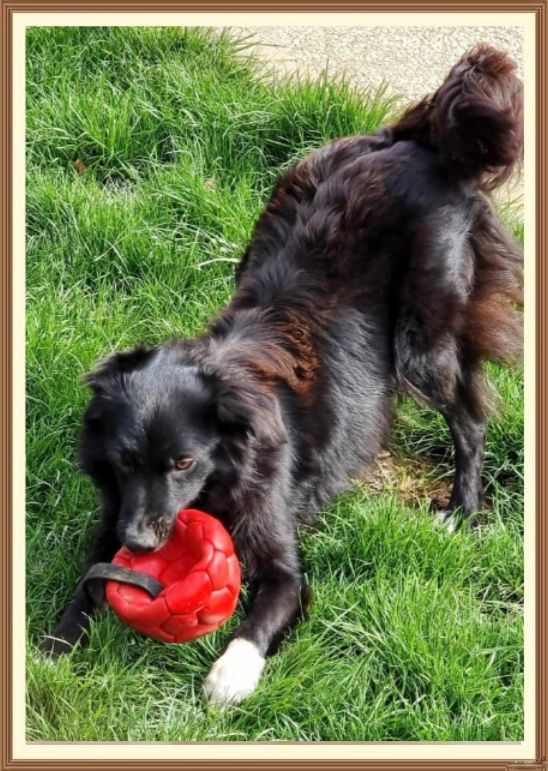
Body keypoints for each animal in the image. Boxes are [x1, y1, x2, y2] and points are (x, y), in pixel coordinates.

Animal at [41, 43, 524, 704]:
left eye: (183, 463)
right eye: (121, 460)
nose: (139, 544)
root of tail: (417, 137)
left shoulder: (280, 550)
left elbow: (273, 603)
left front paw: (229, 673)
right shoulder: (115, 510)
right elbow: (90, 579)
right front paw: (55, 646)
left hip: (424, 334)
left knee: (470, 416)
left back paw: (461, 509)